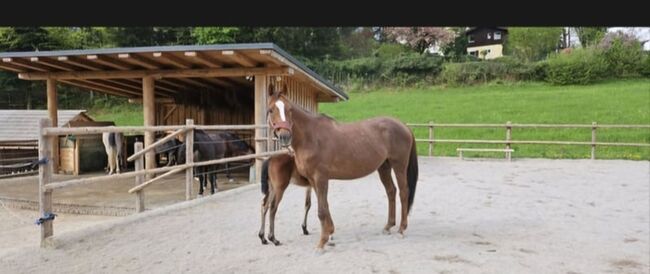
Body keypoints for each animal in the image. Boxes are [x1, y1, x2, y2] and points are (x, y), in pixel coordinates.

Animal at [264, 84, 420, 253]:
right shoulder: (313, 180)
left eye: (289, 109)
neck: (311, 137)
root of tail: (404, 126)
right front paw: (330, 234)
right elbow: (325, 206)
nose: (285, 136)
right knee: (391, 191)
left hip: (399, 165)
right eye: (271, 110)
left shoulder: (320, 178)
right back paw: (388, 226)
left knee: (404, 192)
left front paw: (321, 243)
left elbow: (321, 210)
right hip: (384, 167)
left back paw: (402, 229)